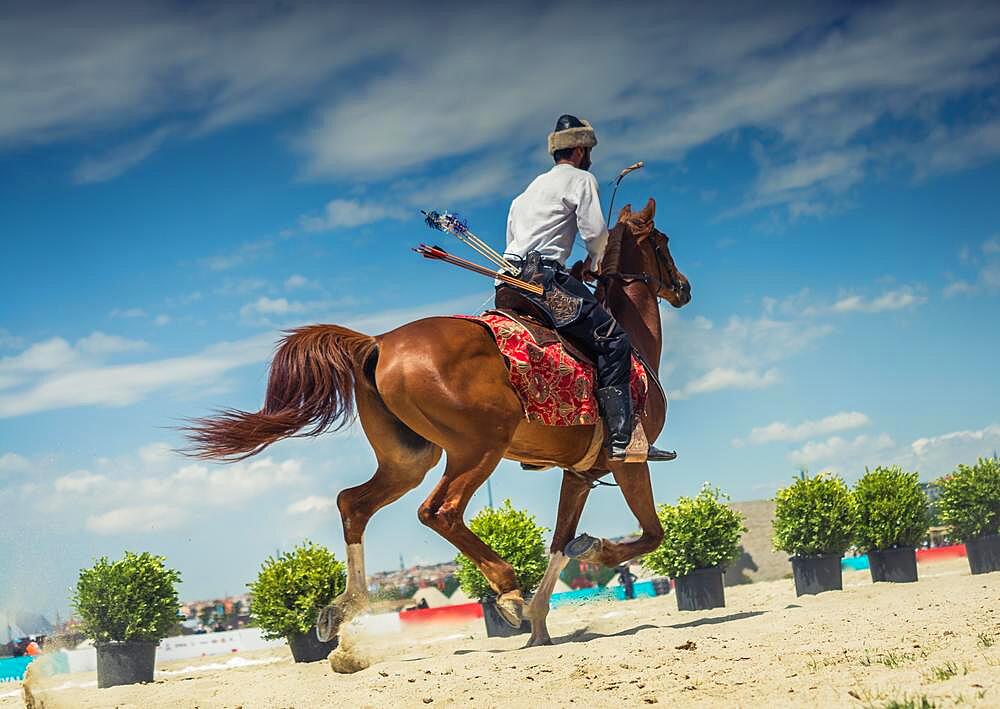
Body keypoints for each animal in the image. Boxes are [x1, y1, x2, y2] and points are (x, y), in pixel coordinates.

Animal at [186, 198, 688, 648]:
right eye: (662, 241)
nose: (683, 287)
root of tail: (378, 342)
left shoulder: (580, 473)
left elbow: (560, 543)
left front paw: (542, 620)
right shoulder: (628, 461)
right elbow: (650, 534)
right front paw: (594, 553)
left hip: (409, 460)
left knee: (354, 504)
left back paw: (344, 610)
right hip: (478, 449)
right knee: (438, 511)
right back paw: (507, 590)